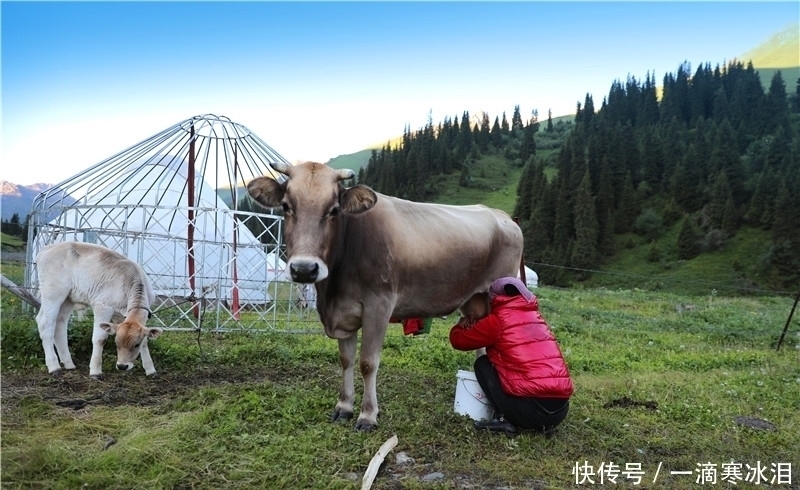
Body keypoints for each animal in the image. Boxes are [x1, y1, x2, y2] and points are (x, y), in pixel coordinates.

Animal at [250, 163, 524, 430]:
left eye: (335, 210)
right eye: (286, 206)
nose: (304, 269)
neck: (333, 290)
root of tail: (504, 217)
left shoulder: (378, 305)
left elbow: (368, 363)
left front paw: (368, 416)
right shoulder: (344, 313)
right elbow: (346, 360)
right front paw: (344, 407)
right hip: (473, 301)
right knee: (482, 348)